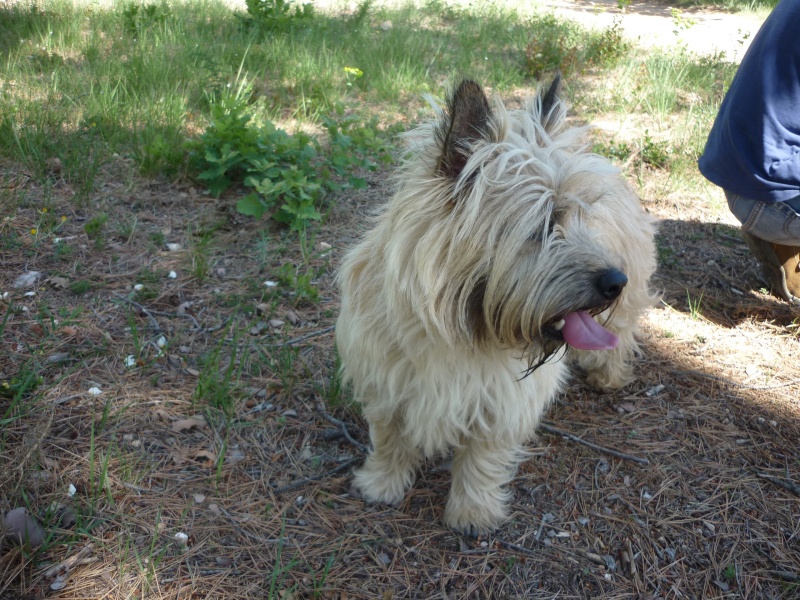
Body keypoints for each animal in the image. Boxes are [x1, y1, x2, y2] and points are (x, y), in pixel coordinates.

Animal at [338, 76, 656, 536]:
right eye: (544, 225)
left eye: (583, 217)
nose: (615, 281)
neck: (460, 332)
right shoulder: (384, 382)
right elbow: (390, 437)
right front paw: (382, 483)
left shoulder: (503, 402)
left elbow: (481, 458)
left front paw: (472, 512)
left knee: (621, 333)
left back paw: (608, 376)